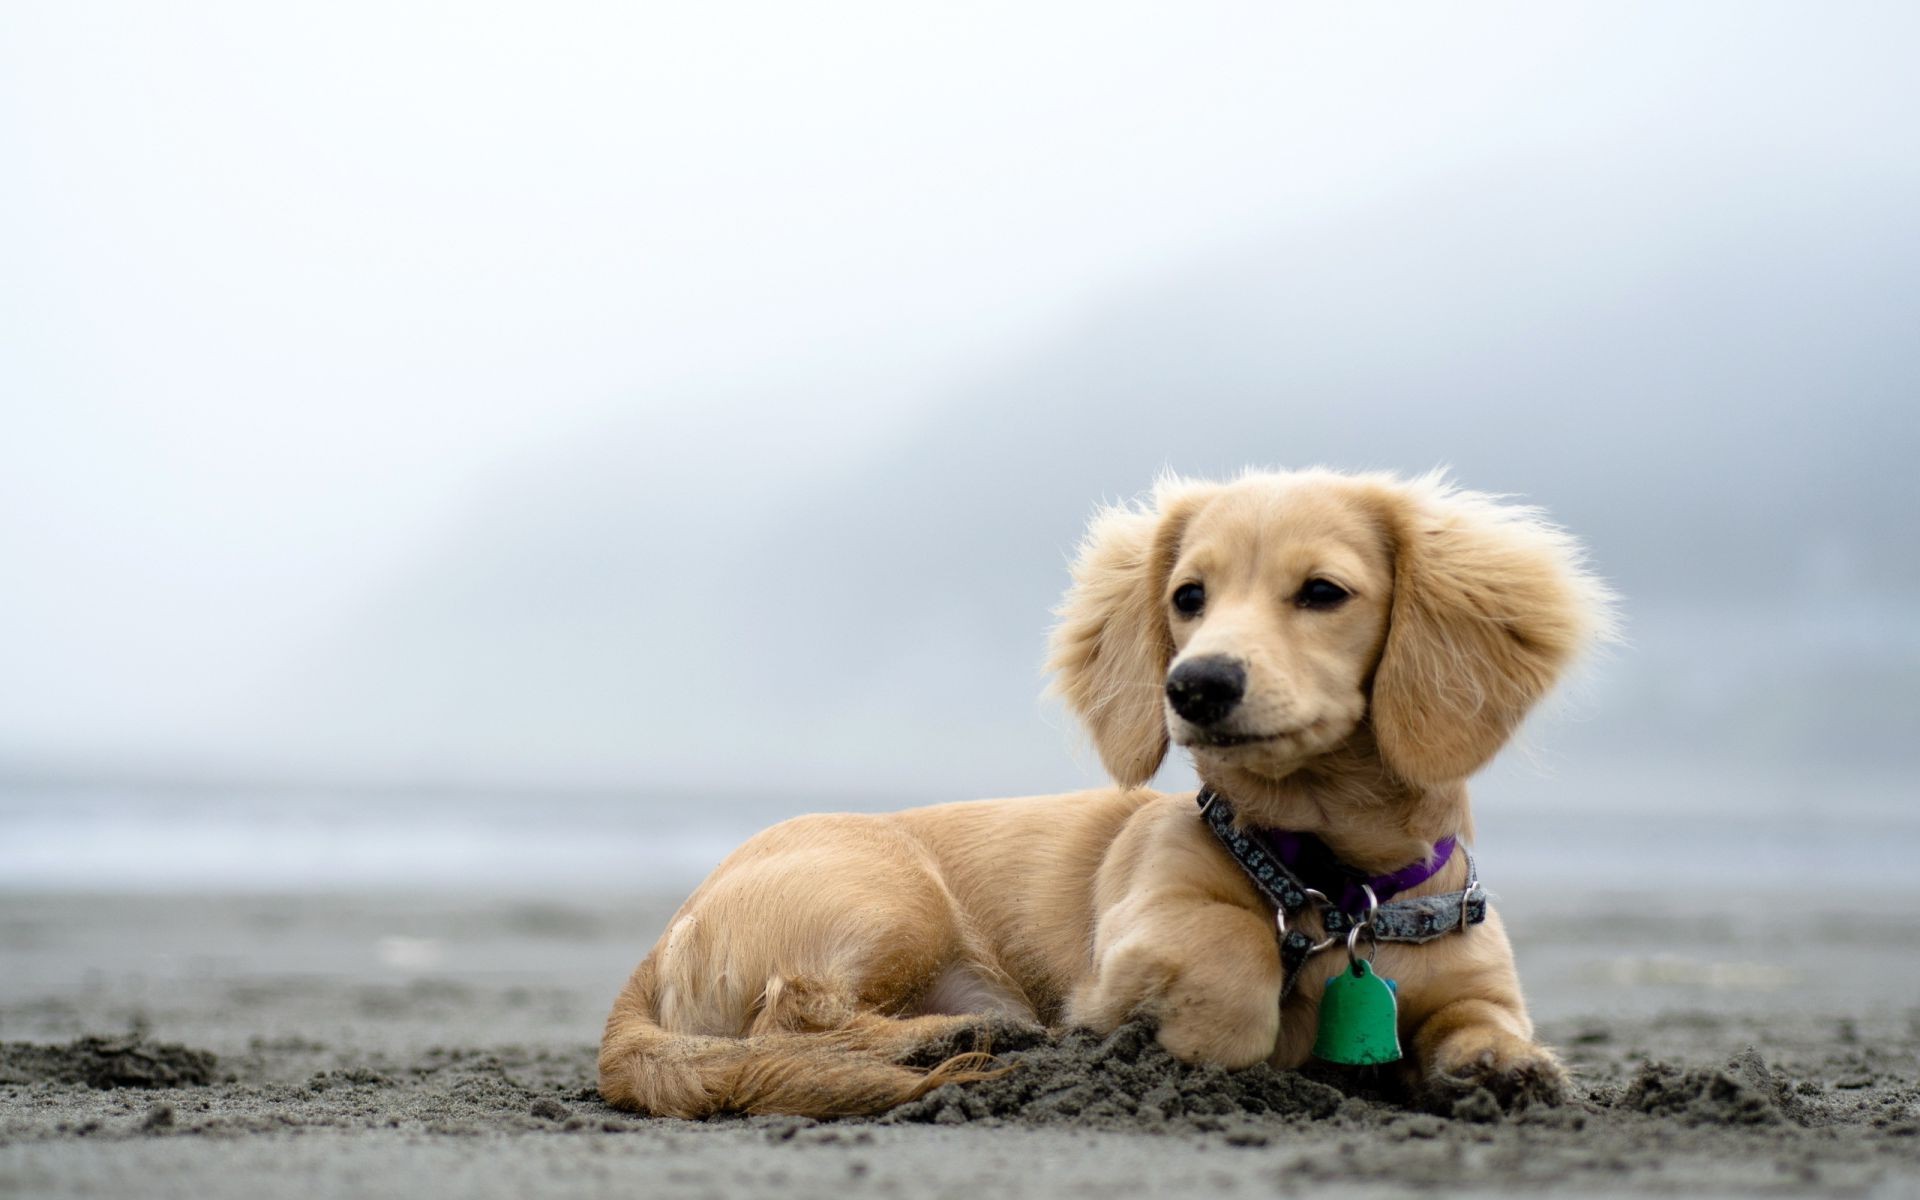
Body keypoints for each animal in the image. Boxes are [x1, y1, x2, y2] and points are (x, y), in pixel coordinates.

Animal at [602, 466, 1620, 1113]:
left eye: (1324, 592)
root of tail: (655, 951)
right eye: (1188, 596)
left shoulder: (1471, 979)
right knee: (789, 1021)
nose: (1196, 685)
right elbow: (1233, 955)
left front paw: (1504, 1069)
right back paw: (948, 1042)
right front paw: (1204, 1036)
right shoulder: (1141, 929)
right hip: (888, 897)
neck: (1335, 883)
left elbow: (1481, 1020)